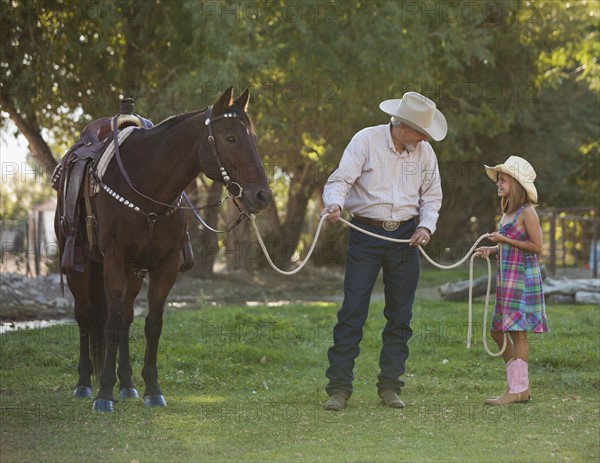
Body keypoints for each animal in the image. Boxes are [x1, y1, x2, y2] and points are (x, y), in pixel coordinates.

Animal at [56, 88, 272, 414]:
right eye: (230, 137)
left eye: (253, 137)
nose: (262, 196)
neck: (146, 187)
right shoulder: (115, 262)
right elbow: (110, 324)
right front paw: (104, 393)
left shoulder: (165, 267)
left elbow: (151, 324)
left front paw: (151, 389)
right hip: (79, 266)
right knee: (86, 316)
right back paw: (84, 383)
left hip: (134, 273)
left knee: (126, 318)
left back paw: (127, 384)